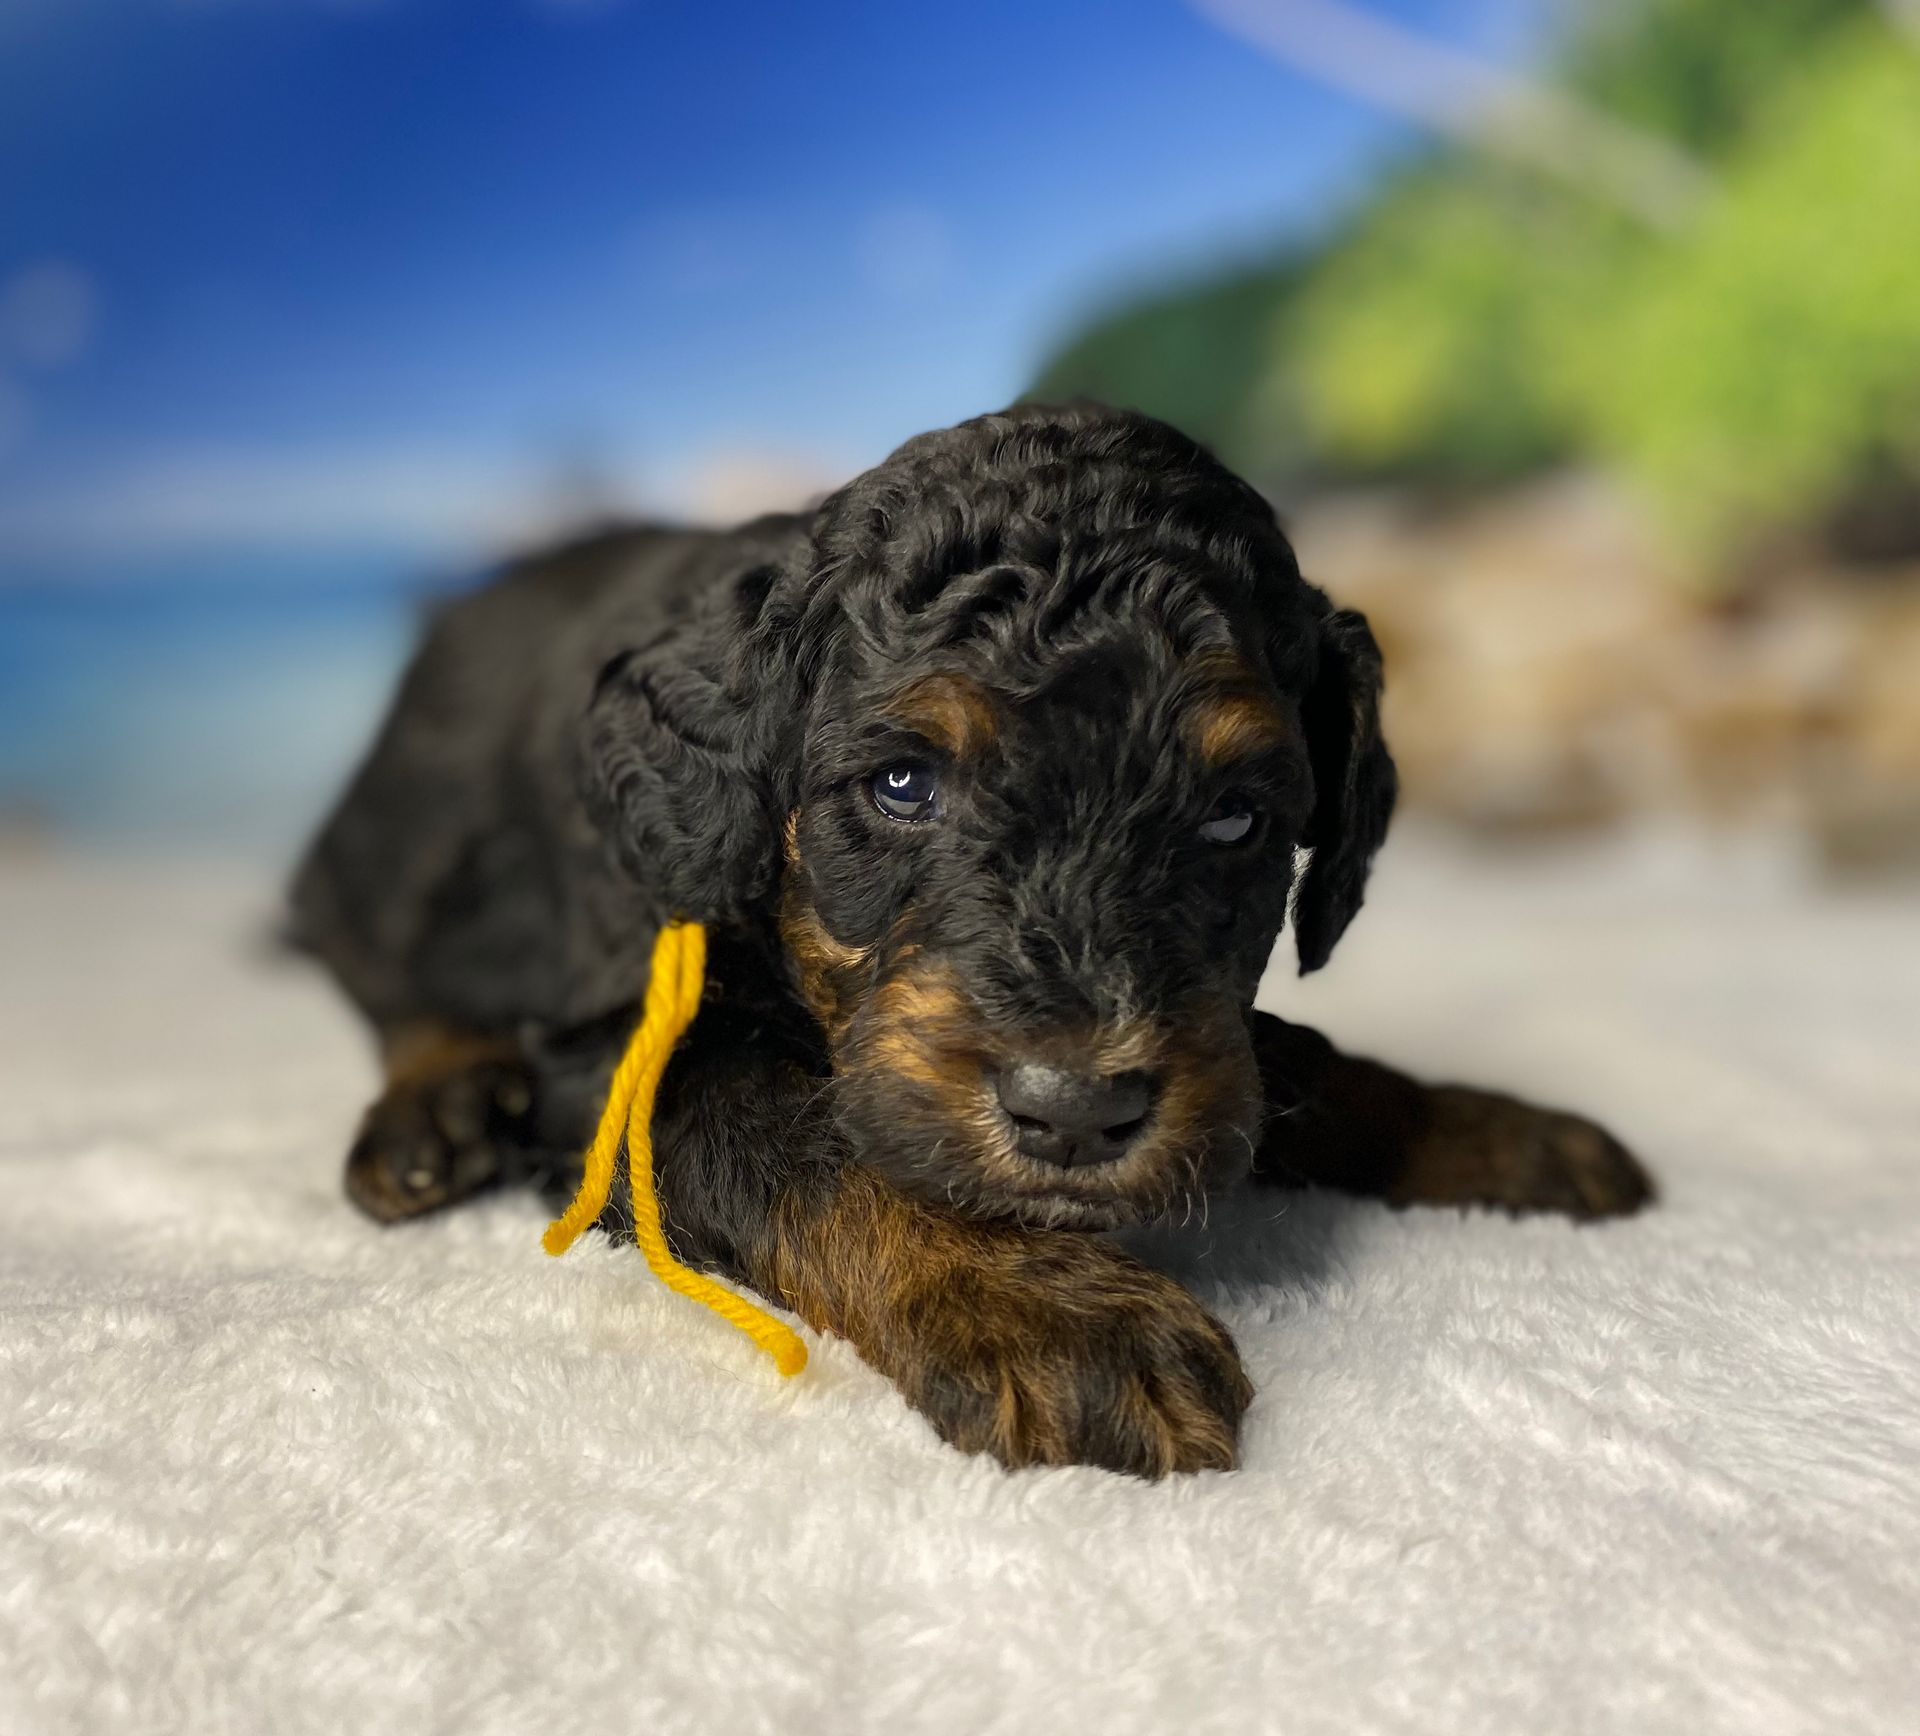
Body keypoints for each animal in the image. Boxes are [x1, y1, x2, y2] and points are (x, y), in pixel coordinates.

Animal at [288, 403, 1651, 1474]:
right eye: (903, 785)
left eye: (1235, 816)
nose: (1076, 1114)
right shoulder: (619, 1047)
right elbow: (802, 1136)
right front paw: (1046, 1311)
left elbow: (1293, 1060)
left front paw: (1506, 1134)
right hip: (393, 845)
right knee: (382, 965)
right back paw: (433, 1110)